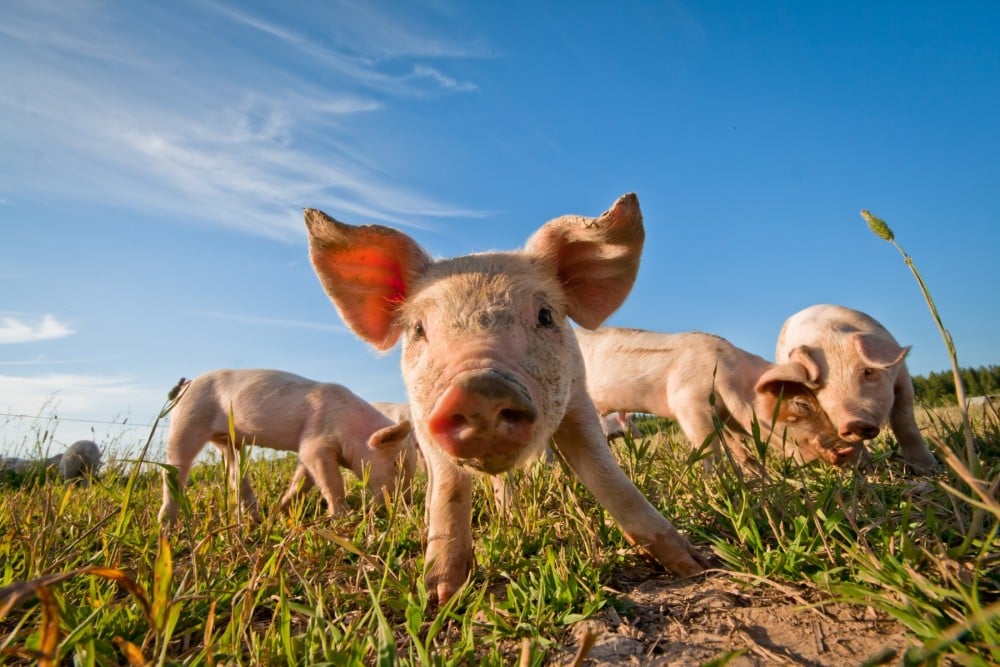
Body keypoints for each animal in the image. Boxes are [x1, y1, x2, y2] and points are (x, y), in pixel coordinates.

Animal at [157, 369, 417, 524]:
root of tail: (187, 384)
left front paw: (281, 510)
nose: (407, 503)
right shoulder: (316, 441)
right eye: (396, 464)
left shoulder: (308, 450)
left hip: (228, 441)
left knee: (235, 473)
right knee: (174, 469)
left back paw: (256, 517)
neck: (352, 428)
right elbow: (331, 481)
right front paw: (342, 516)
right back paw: (166, 524)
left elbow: (303, 479)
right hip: (187, 419)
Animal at [304, 193, 707, 604]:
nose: (478, 389)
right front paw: (441, 595)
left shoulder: (578, 398)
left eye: (545, 315)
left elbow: (606, 474)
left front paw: (694, 566)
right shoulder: (422, 419)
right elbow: (449, 488)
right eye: (418, 329)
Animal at [575, 327, 862, 469]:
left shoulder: (723, 416)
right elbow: (710, 452)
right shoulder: (688, 402)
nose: (848, 451)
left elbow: (741, 451)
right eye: (801, 404)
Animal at [775, 304, 939, 474]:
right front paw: (866, 471)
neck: (827, 336)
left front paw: (929, 471)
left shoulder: (902, 377)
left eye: (868, 371)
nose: (853, 422)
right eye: (818, 387)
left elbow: (905, 422)